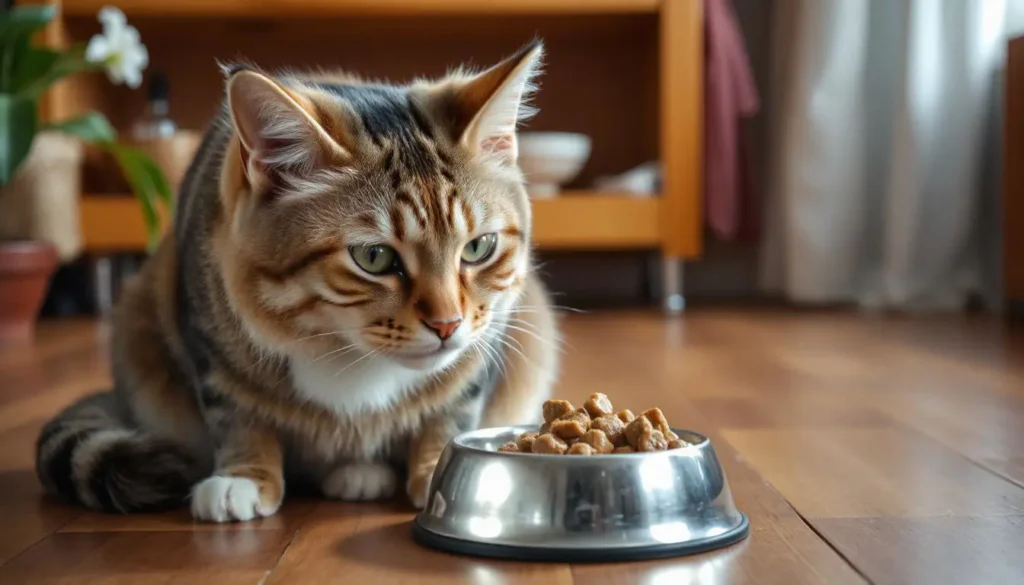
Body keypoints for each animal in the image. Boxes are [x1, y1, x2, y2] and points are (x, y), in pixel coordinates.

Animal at [36, 43, 561, 524]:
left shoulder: (484, 348)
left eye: (479, 247)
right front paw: (242, 478)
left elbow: (451, 410)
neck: (346, 348)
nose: (448, 325)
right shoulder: (208, 340)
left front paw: (437, 467)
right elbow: (236, 413)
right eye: (374, 257)